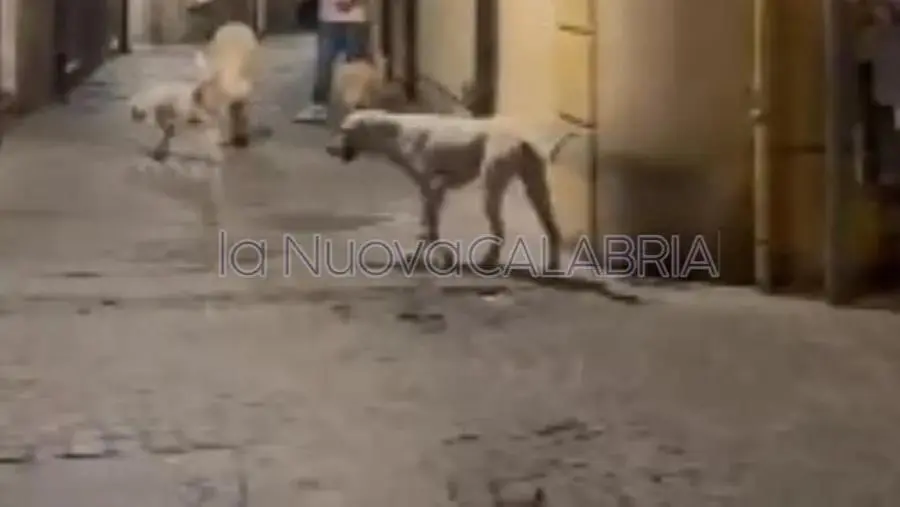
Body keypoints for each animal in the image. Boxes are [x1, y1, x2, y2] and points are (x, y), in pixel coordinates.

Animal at [324, 109, 576, 272]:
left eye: (344, 129)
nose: (328, 149)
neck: (395, 132)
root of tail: (522, 139)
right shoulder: (433, 190)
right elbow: (426, 227)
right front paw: (418, 256)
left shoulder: (433, 189)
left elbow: (431, 230)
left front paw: (442, 257)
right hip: (537, 191)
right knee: (553, 229)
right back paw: (552, 265)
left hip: (491, 190)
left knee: (499, 229)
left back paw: (488, 261)